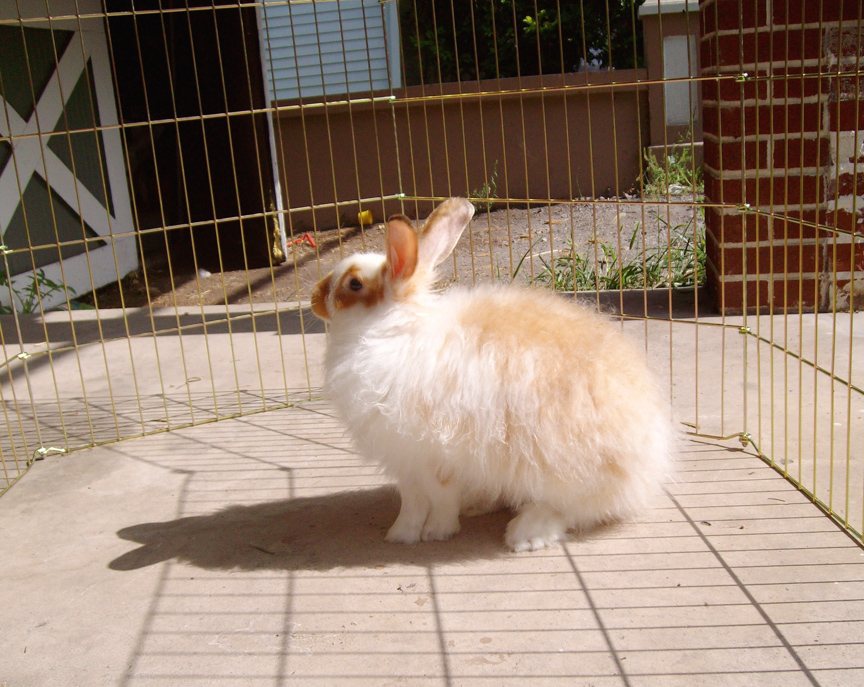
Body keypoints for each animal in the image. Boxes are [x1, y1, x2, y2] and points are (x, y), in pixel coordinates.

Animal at [311, 198, 672, 551]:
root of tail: (650, 459)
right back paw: (479, 504)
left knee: (571, 508)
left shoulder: (432, 458)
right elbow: (412, 502)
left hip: (564, 471)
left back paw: (525, 534)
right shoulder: (407, 464)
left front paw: (433, 532)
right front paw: (402, 534)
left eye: (354, 283)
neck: (391, 329)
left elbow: (438, 499)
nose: (315, 297)